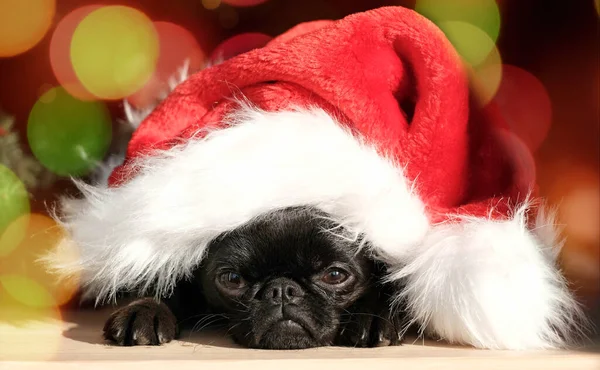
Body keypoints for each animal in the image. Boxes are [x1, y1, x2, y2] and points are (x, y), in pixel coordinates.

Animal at [103, 207, 404, 348]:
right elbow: (160, 280)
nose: (282, 290)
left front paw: (373, 316)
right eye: (232, 279)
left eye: (335, 275)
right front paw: (144, 309)